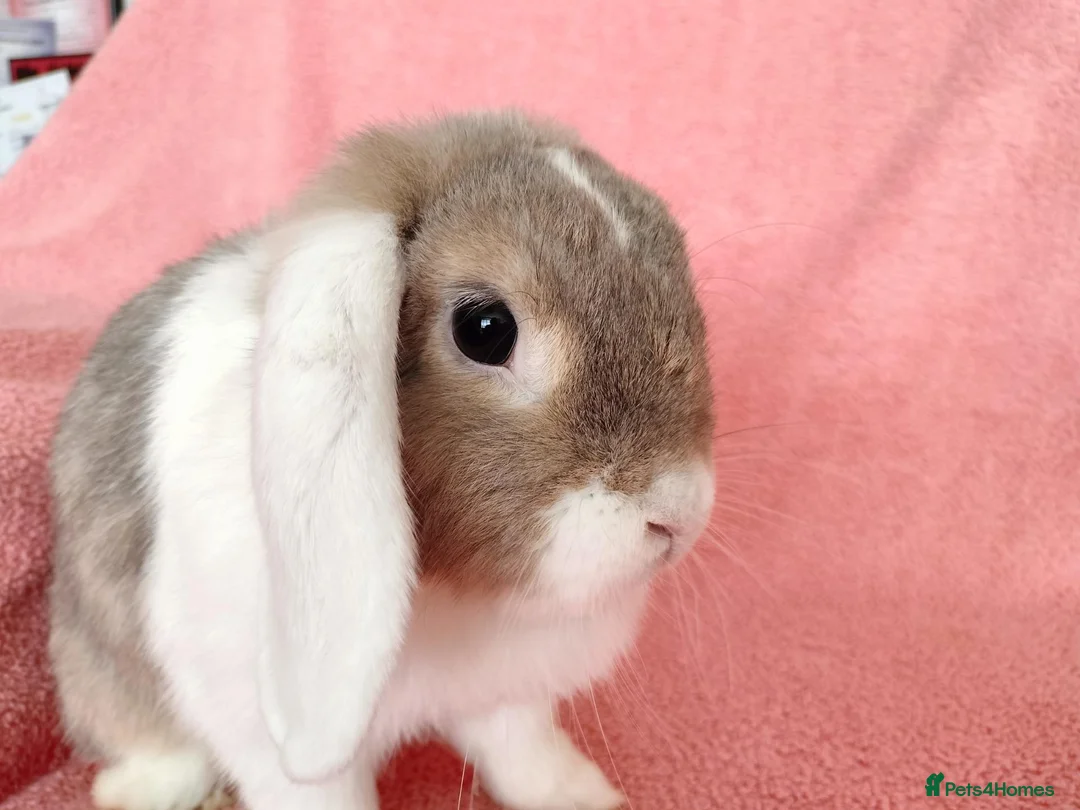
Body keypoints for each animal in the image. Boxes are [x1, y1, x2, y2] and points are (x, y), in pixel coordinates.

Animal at [47, 109, 717, 810]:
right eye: (485, 329)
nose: (678, 515)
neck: (448, 591)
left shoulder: (503, 698)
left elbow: (521, 750)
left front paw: (583, 797)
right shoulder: (266, 738)